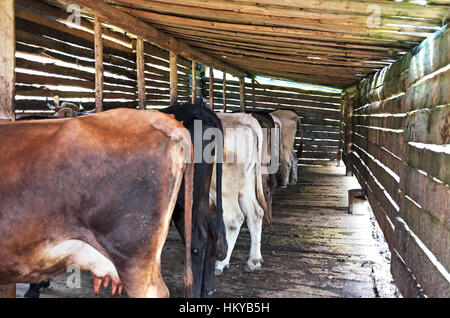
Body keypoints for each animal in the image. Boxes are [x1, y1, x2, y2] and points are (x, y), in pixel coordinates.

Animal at [210, 113, 268, 274]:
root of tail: (245, 118)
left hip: (223, 187)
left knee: (234, 219)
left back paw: (220, 264)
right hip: (246, 184)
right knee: (256, 214)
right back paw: (253, 261)